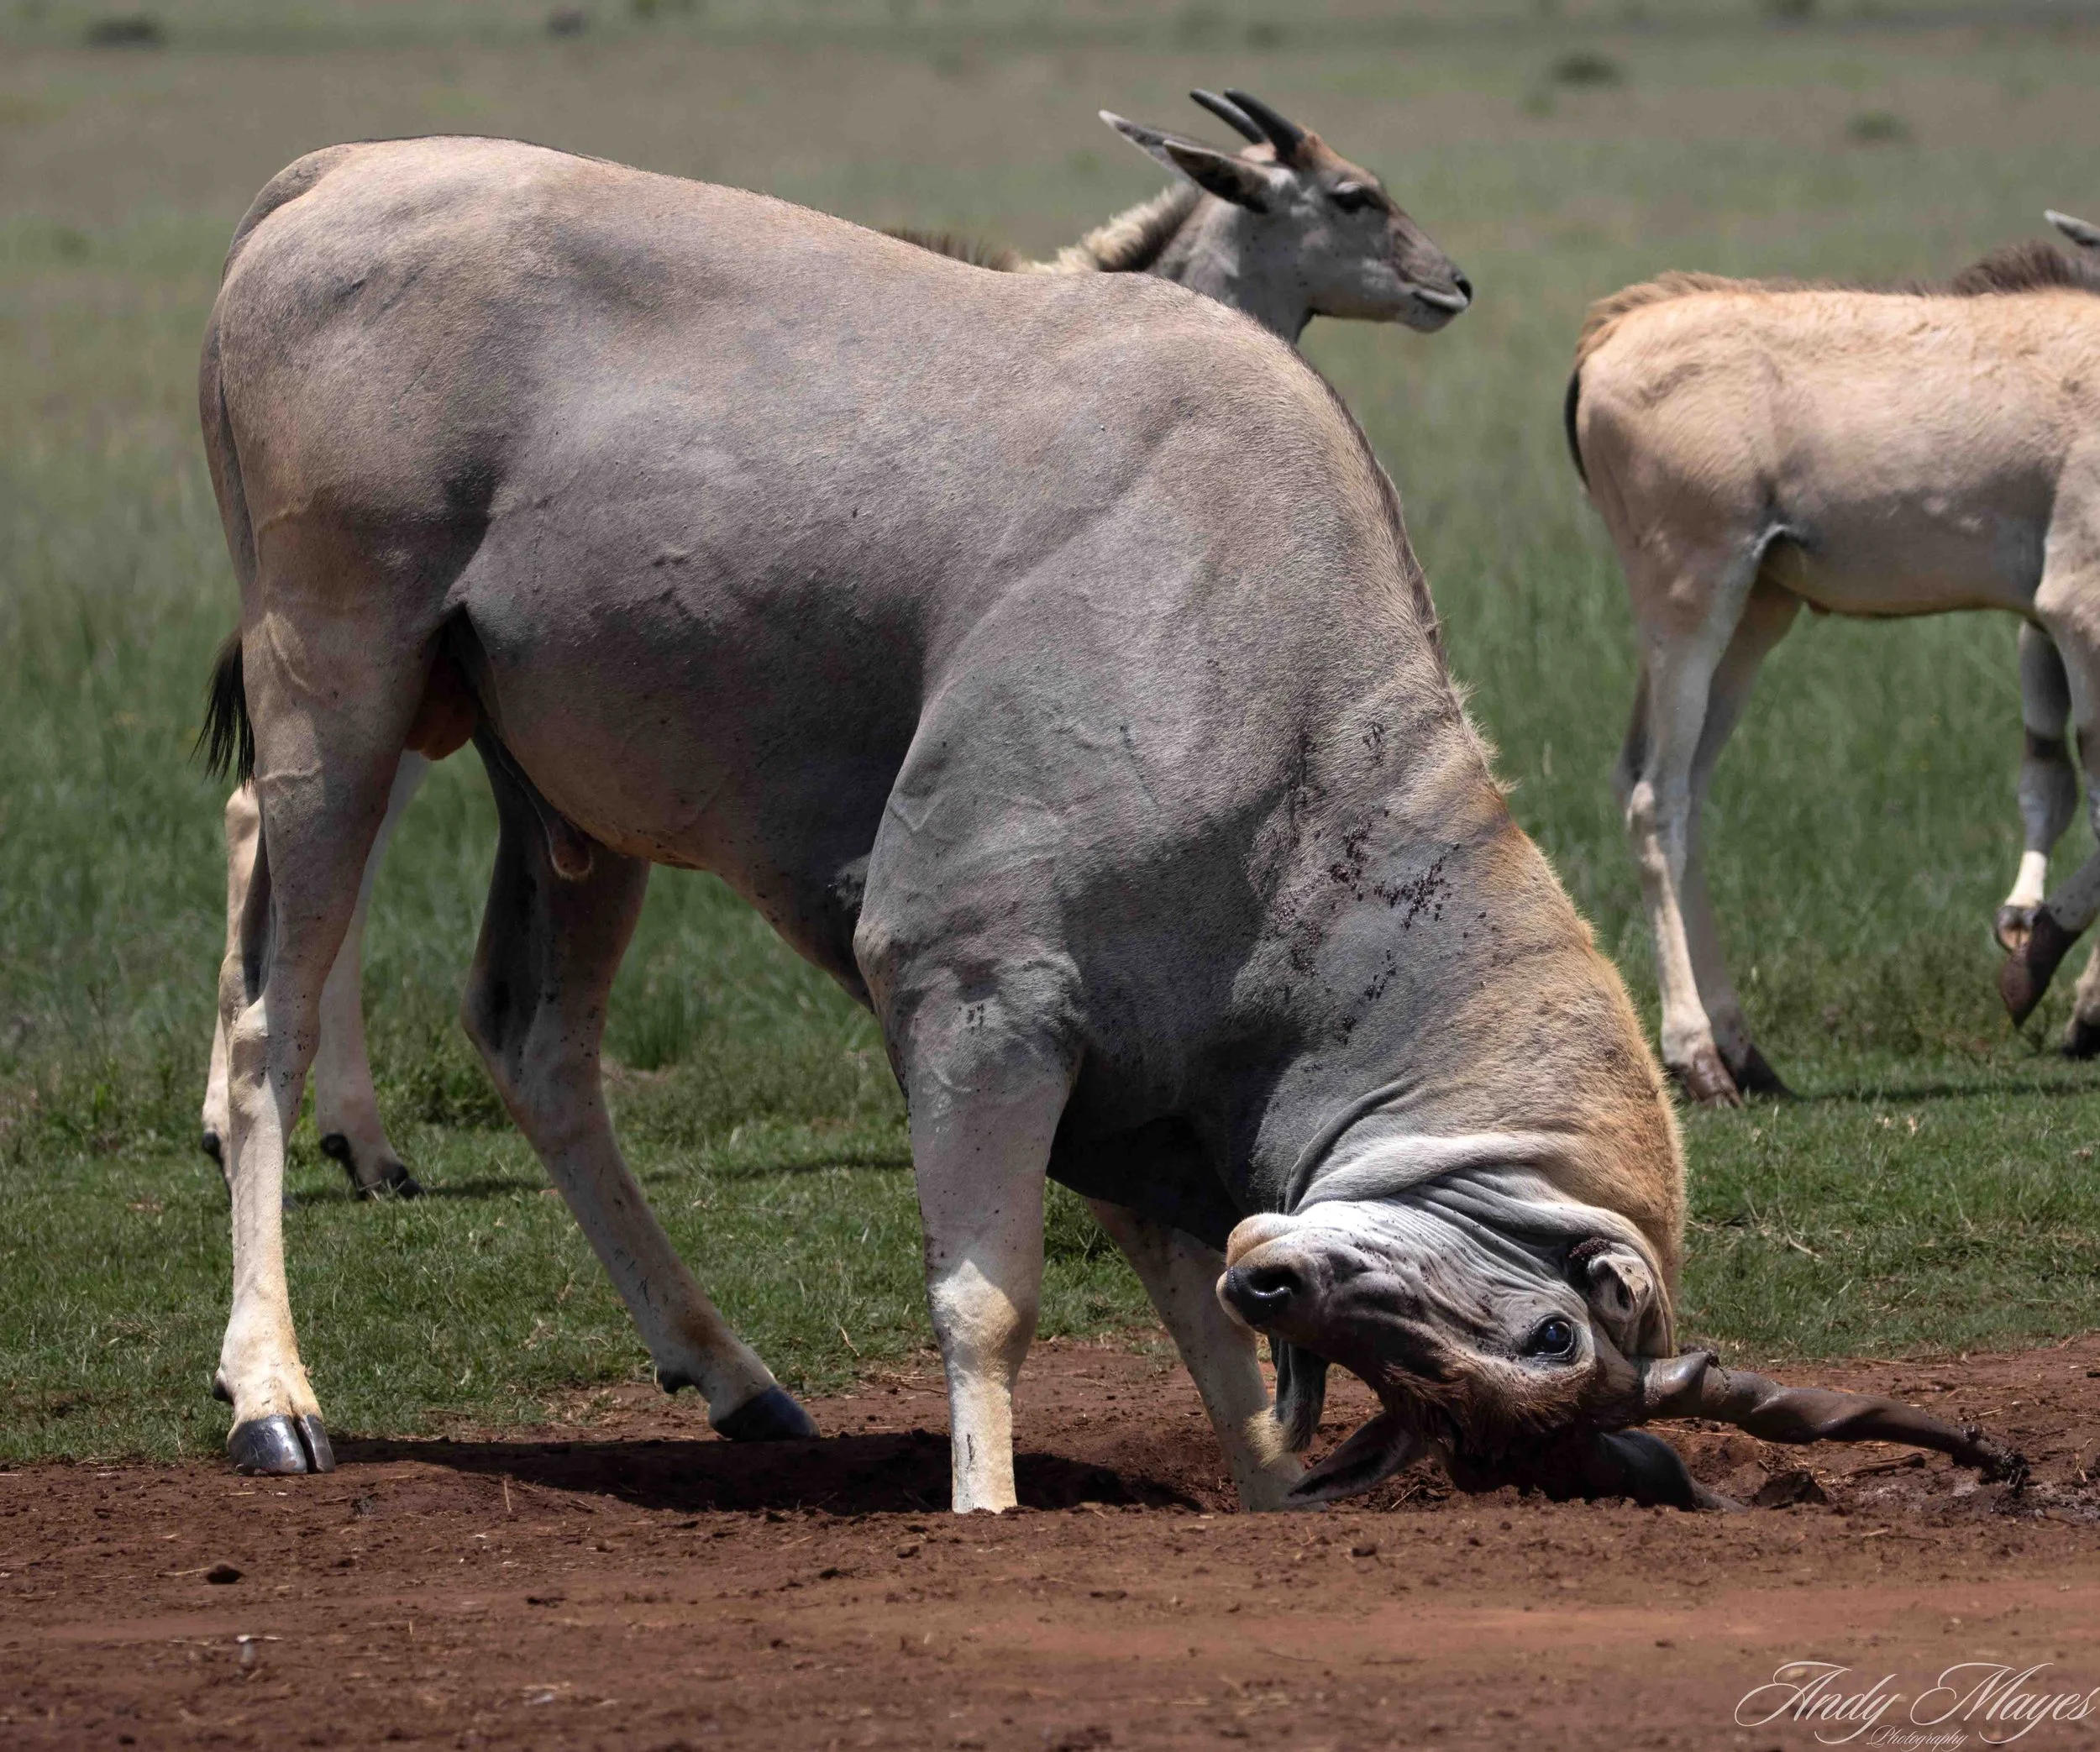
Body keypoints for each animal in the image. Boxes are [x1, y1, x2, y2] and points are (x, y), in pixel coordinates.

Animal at [199, 136, 2016, 1510]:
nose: (1282, 1275)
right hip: (339, 694)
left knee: (536, 1042)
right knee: (265, 1023)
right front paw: (989, 1509)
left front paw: (1269, 1482)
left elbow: (1197, 1330)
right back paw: (273, 1396)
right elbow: (986, 1299)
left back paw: (732, 1377)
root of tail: (324, 176)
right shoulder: (973, 989)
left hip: (561, 799)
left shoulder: (1136, 1067)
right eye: (1559, 1335)